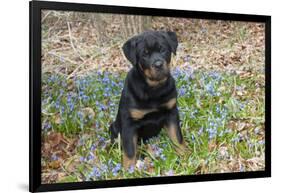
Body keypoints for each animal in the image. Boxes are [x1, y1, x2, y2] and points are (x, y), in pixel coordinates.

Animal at [109, 30, 184, 169]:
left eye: (163, 49)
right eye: (145, 54)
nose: (158, 64)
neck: (154, 89)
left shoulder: (171, 113)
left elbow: (177, 137)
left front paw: (184, 156)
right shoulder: (129, 123)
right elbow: (129, 150)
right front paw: (129, 169)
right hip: (115, 128)